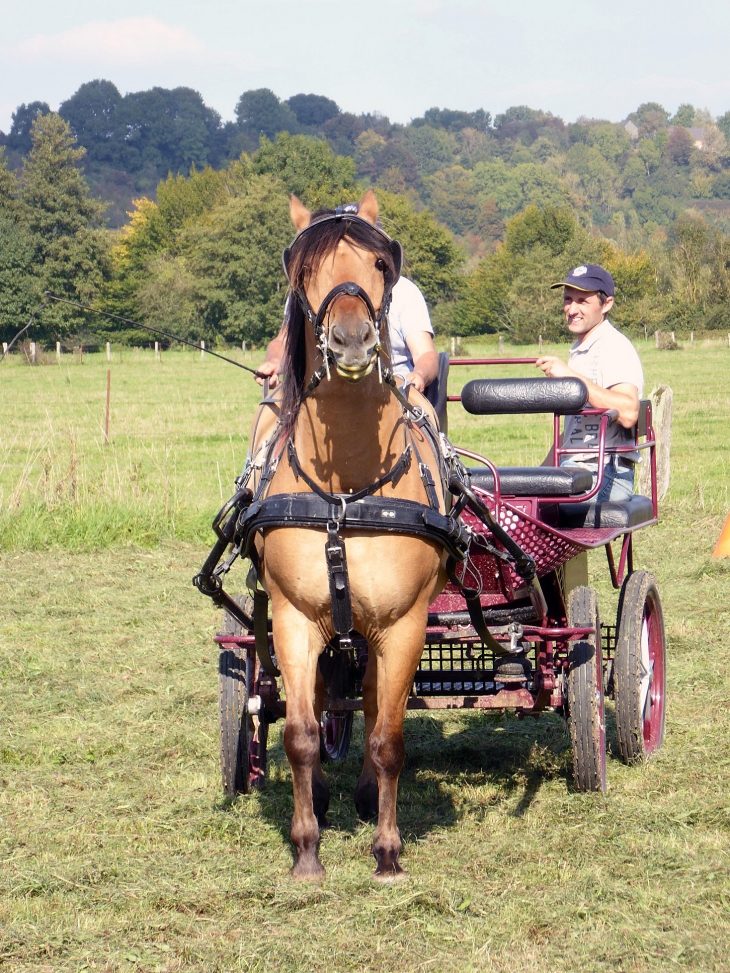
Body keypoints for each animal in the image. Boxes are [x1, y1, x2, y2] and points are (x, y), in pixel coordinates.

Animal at [245, 192, 452, 880]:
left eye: (381, 264)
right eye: (302, 270)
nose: (354, 339)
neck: (345, 490)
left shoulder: (403, 622)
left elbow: (389, 737)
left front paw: (387, 852)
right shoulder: (292, 618)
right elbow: (300, 735)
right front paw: (306, 847)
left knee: (365, 698)